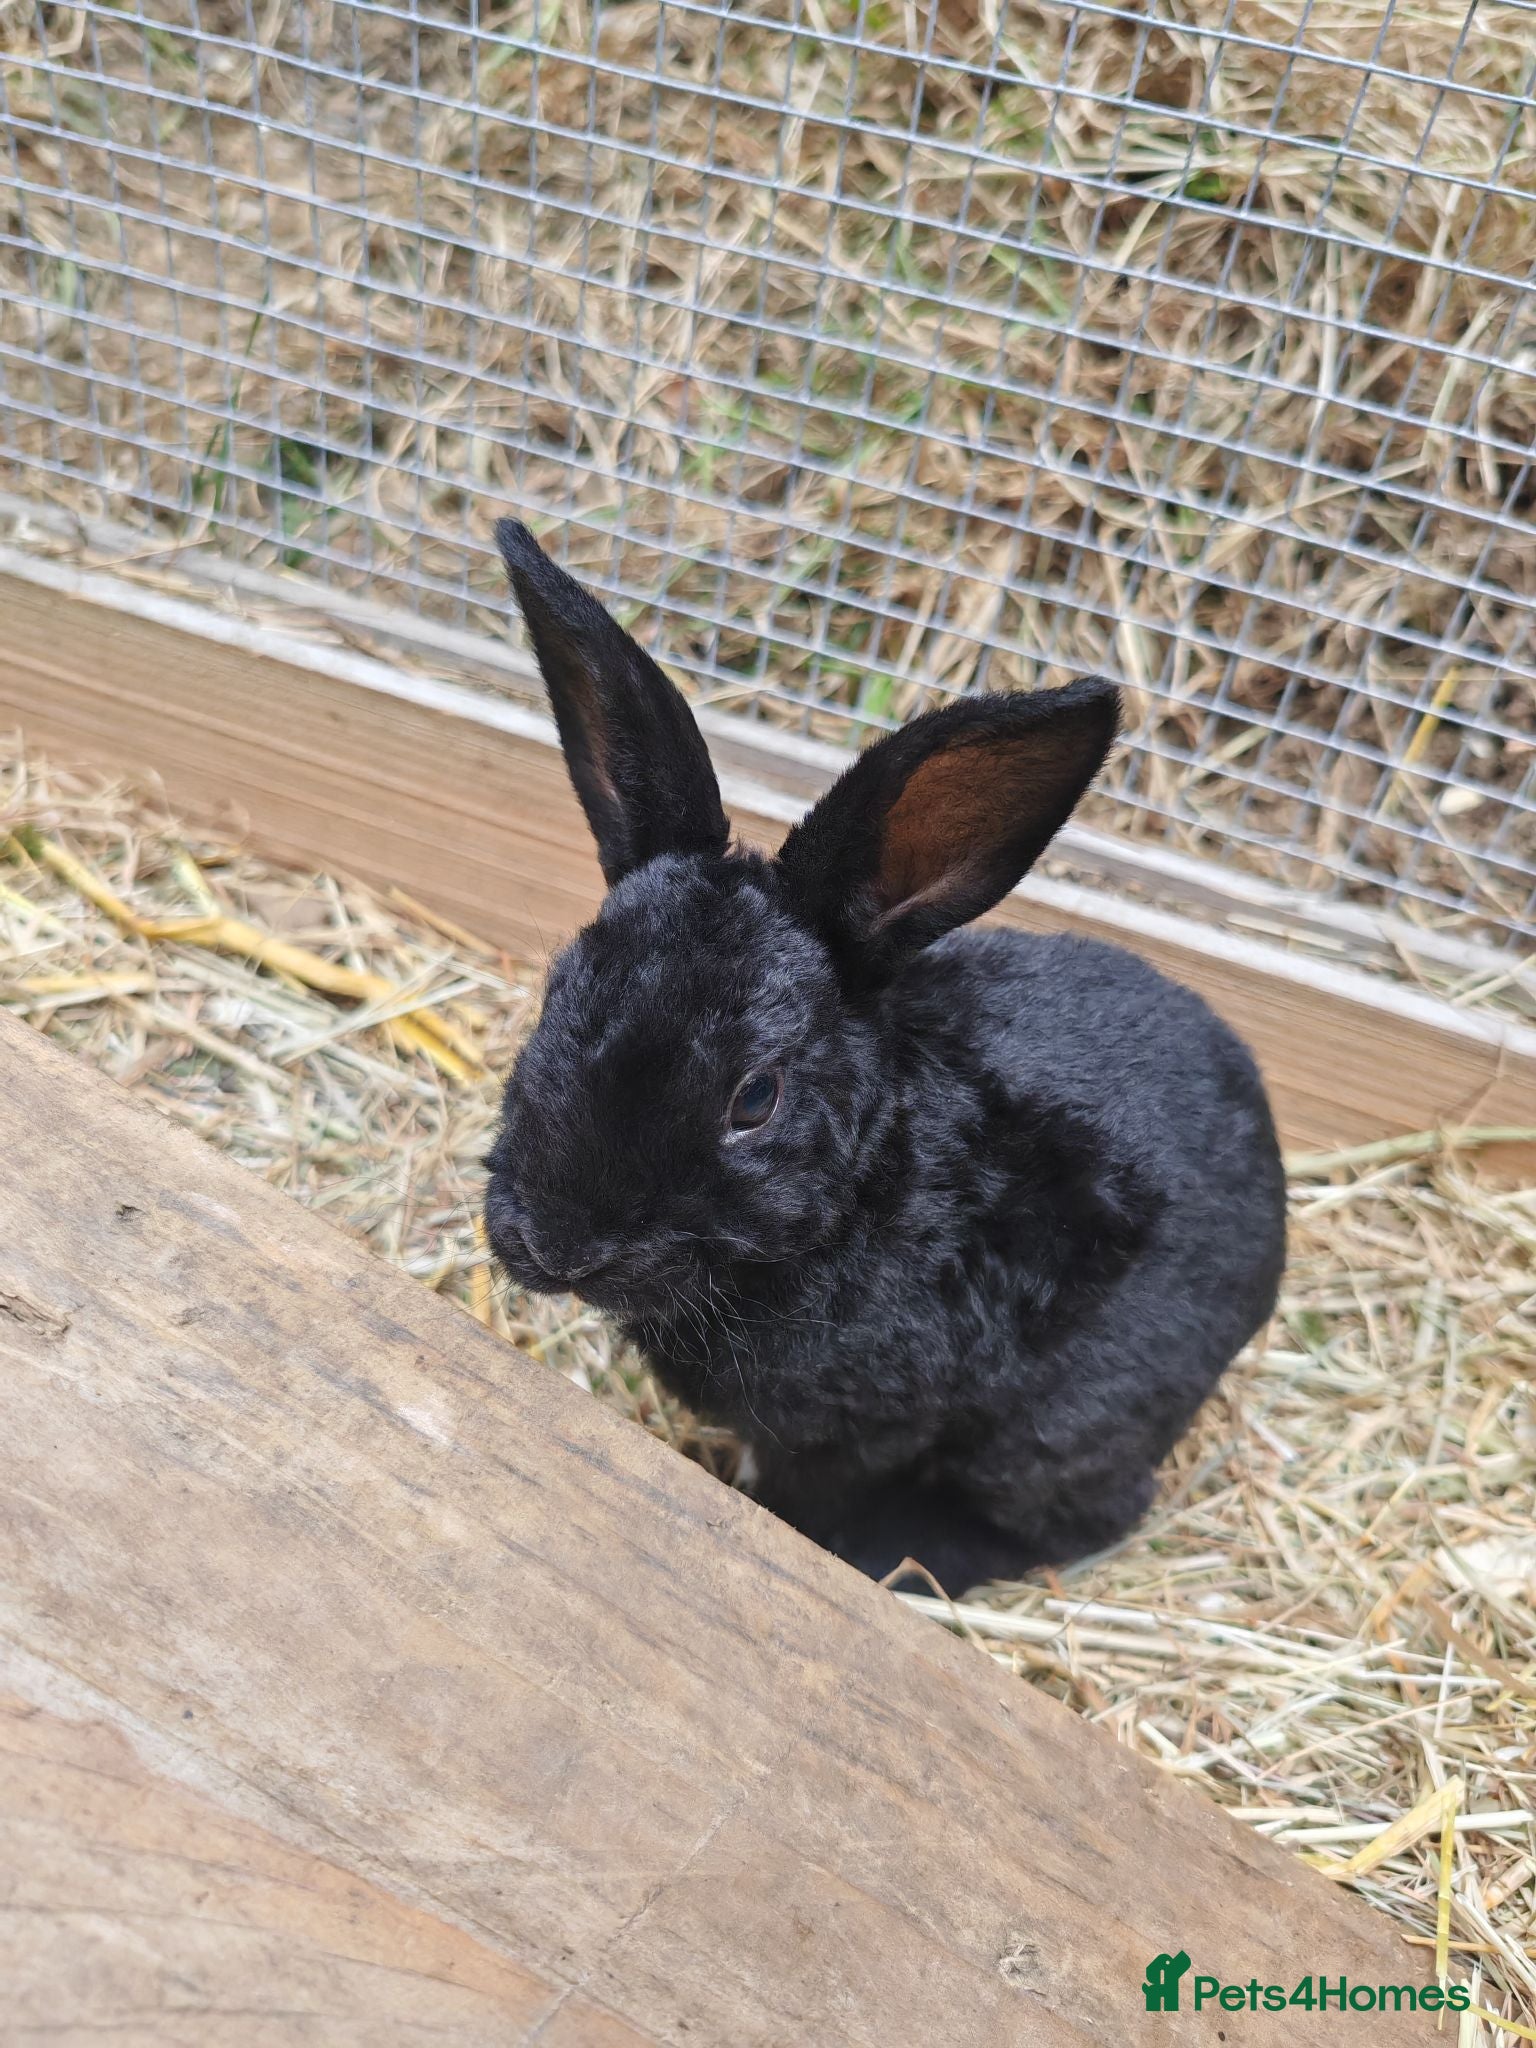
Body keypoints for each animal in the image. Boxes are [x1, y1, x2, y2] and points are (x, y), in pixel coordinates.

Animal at [484, 519, 1288, 1594]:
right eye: (559, 994)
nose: (555, 1245)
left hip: (1058, 1429)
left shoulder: (858, 1431)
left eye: (755, 1098)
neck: (868, 1192)